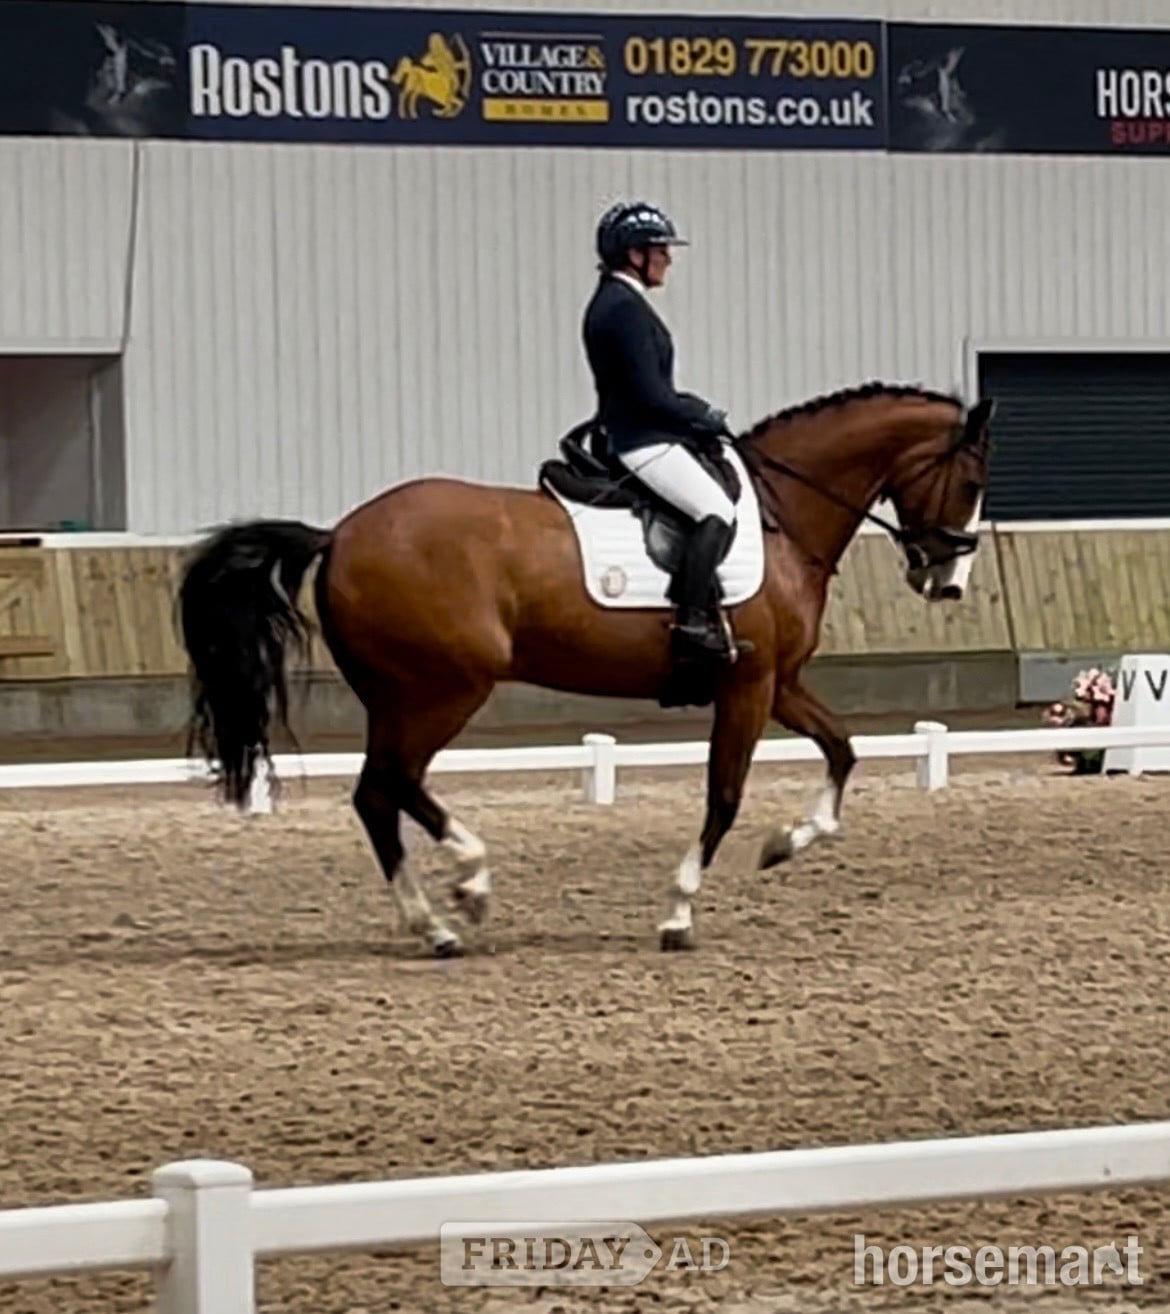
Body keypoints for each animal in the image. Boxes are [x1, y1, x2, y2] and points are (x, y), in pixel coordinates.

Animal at [177, 381, 994, 958]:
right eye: (971, 479)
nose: (948, 582)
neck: (782, 516)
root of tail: (340, 533)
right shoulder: (748, 685)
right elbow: (724, 796)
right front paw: (678, 911)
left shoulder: (779, 683)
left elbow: (842, 749)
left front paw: (787, 843)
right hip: (445, 688)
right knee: (392, 784)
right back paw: (469, 884)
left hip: (398, 694)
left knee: (377, 795)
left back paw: (435, 924)